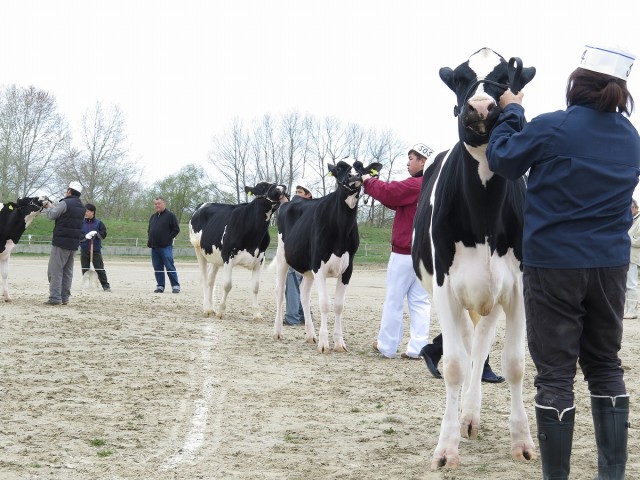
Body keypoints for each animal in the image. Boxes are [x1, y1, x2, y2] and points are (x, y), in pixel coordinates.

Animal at [189, 182, 286, 320]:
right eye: (261, 186)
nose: (281, 187)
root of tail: (203, 204)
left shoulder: (260, 260)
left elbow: (256, 287)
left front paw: (257, 313)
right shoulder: (228, 257)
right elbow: (227, 285)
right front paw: (221, 311)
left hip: (215, 256)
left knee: (210, 279)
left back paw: (211, 308)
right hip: (198, 249)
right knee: (204, 278)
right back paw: (207, 308)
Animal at [272, 161, 382, 352]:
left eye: (360, 166)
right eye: (339, 168)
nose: (354, 176)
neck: (341, 228)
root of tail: (293, 200)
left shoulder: (347, 269)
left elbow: (338, 306)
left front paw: (339, 343)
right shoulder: (319, 266)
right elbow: (324, 304)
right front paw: (324, 343)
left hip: (308, 269)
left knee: (304, 294)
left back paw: (310, 335)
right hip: (282, 257)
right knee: (280, 291)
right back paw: (277, 332)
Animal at [410, 48, 536, 468]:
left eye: (506, 77)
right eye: (462, 80)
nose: (480, 105)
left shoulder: (518, 288)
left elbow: (514, 364)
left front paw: (523, 441)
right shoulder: (446, 288)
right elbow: (452, 365)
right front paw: (445, 449)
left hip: (492, 296)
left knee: (479, 350)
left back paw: (470, 416)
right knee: (466, 350)